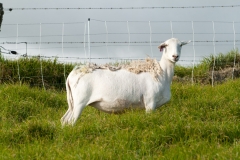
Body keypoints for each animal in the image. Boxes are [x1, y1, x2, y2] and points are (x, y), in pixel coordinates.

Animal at [61, 38, 190, 125]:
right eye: (166, 45)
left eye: (180, 45)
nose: (175, 56)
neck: (162, 73)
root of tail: (72, 74)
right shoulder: (150, 102)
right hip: (80, 101)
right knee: (71, 121)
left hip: (73, 102)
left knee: (64, 120)